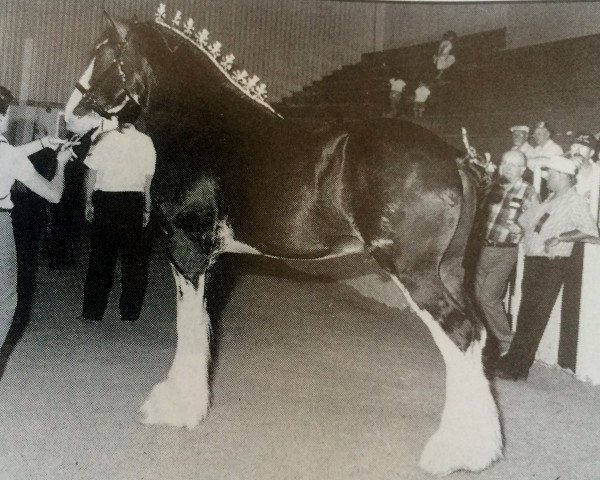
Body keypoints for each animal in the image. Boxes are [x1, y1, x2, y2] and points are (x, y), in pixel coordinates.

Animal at [64, 7, 502, 476]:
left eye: (105, 56)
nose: (69, 117)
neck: (201, 127)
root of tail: (456, 160)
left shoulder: (186, 247)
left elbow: (188, 328)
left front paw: (177, 409)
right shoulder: (210, 259)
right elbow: (202, 324)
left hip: (415, 274)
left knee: (459, 334)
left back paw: (450, 452)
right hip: (450, 272)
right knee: (476, 334)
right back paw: (480, 448)